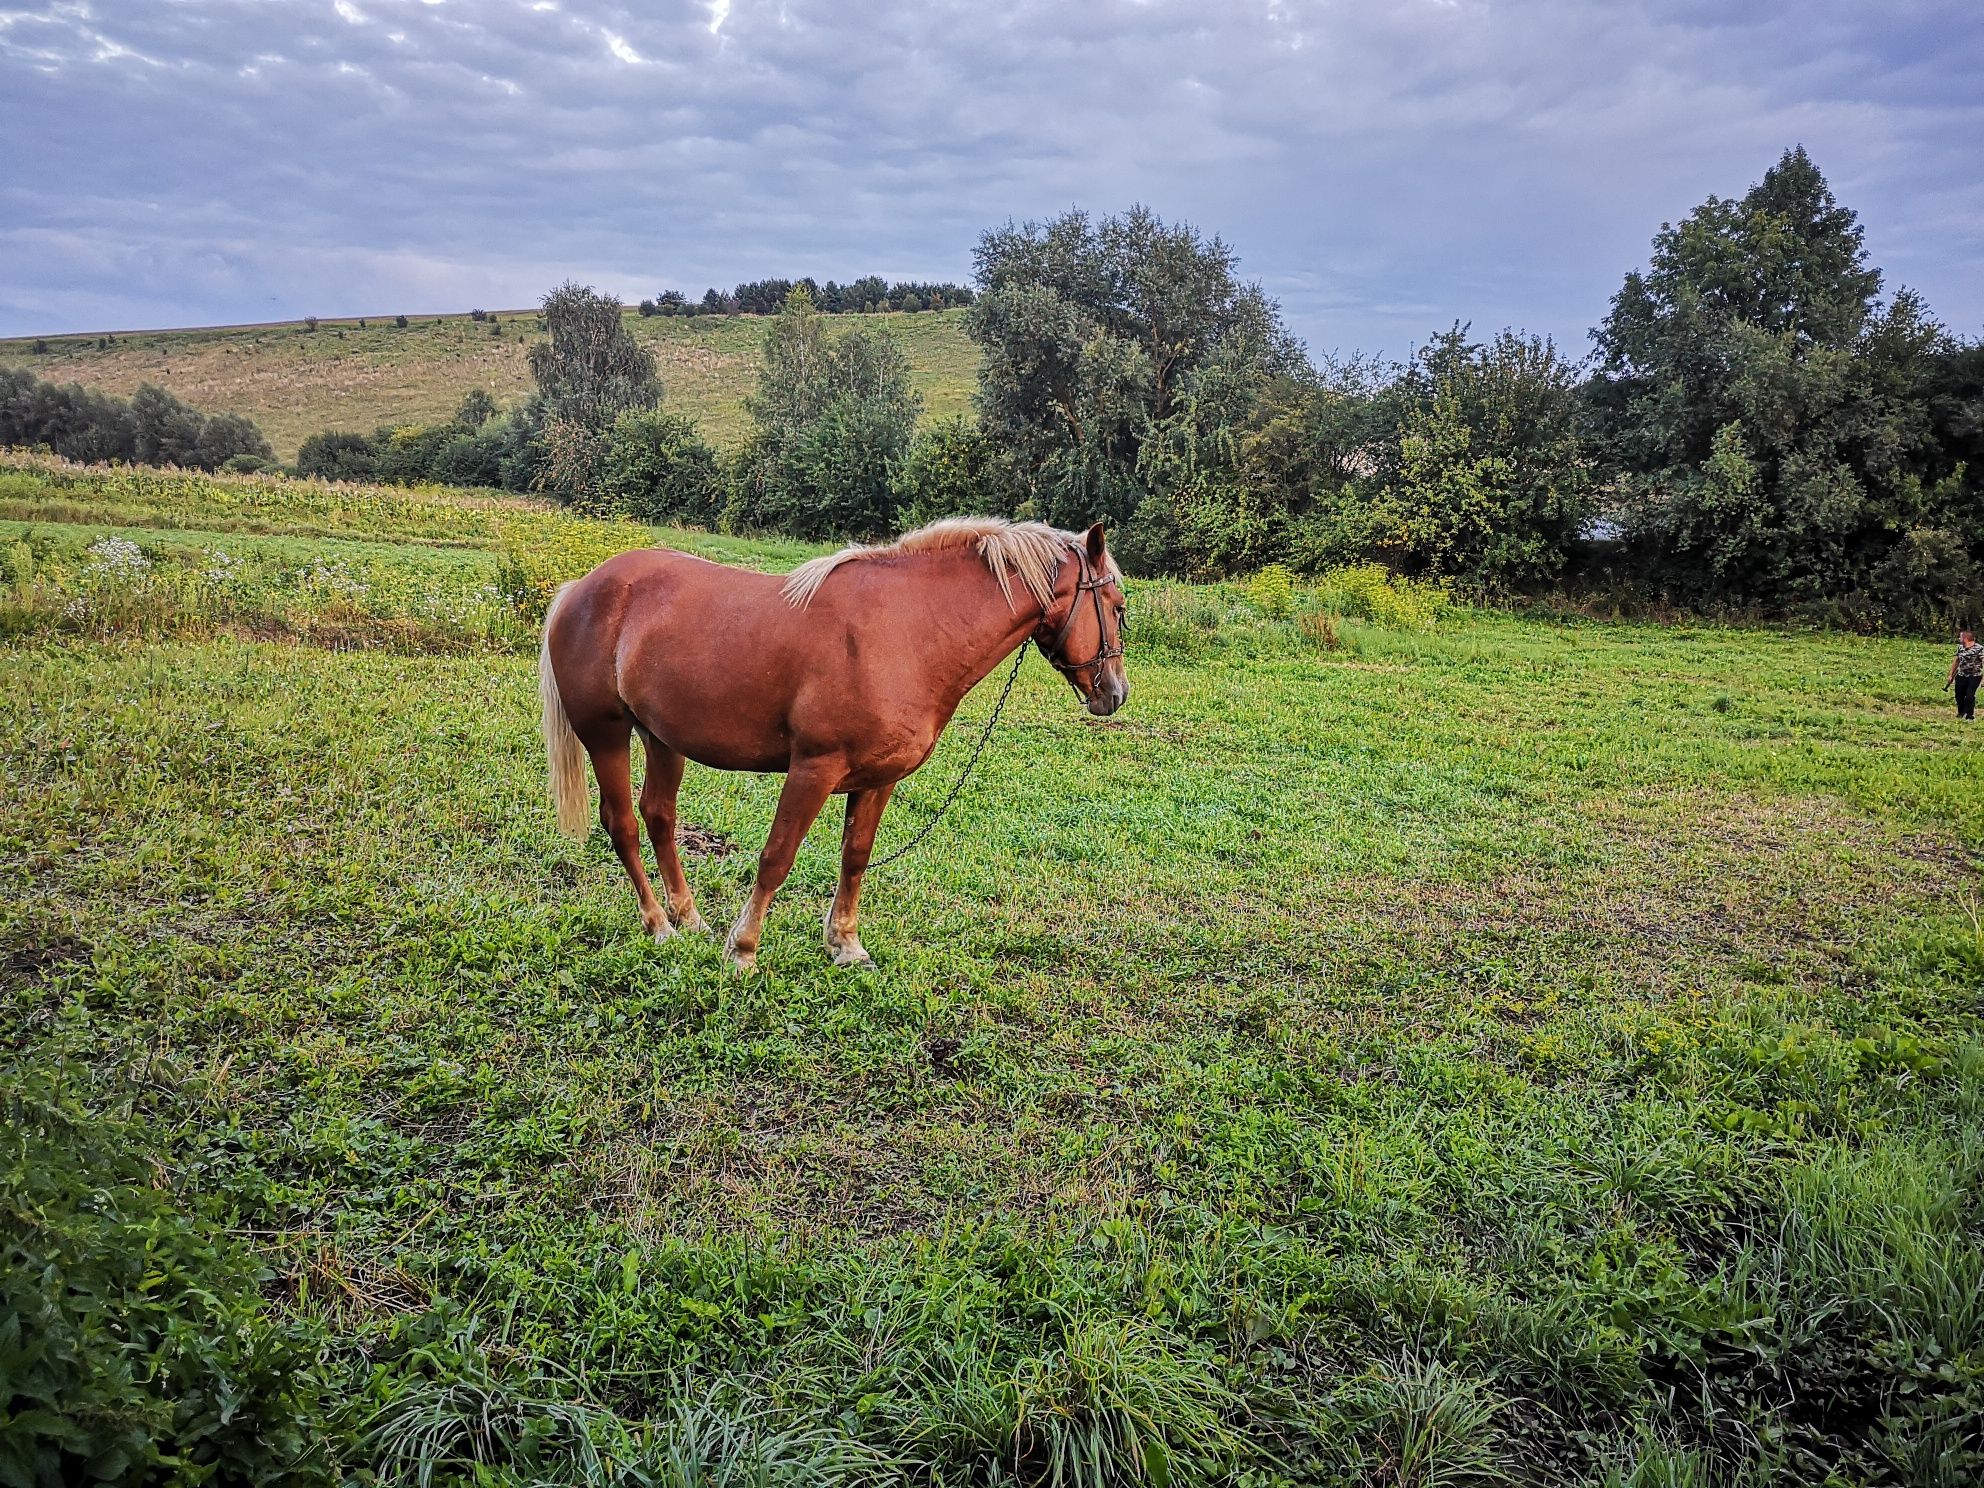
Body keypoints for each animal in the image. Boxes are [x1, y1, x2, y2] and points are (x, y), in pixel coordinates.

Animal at [543, 519, 1126, 972]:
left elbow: (855, 857)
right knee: (624, 824)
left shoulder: (877, 779)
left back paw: (689, 918)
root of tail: (580, 588)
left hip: (663, 738)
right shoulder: (813, 770)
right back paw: (659, 925)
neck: (907, 630)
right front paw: (744, 950)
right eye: (1118, 606)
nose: (1115, 694)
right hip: (606, 735)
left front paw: (844, 944)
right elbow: (777, 856)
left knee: (660, 817)